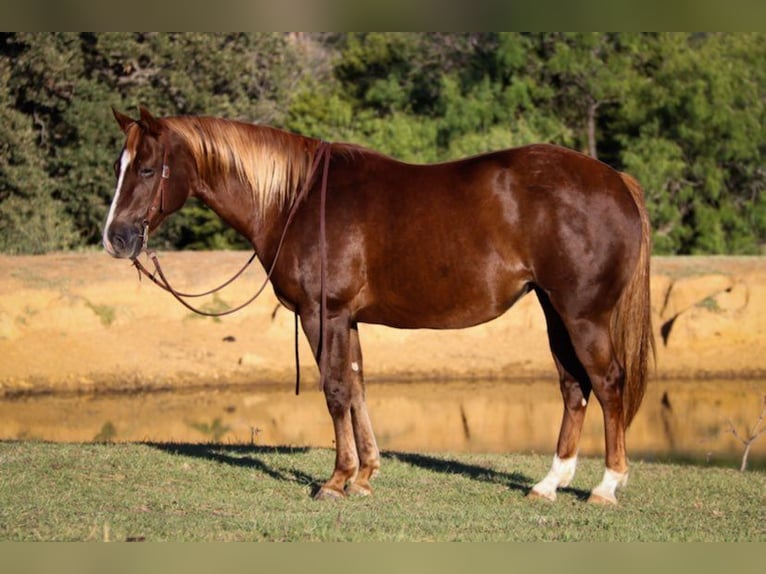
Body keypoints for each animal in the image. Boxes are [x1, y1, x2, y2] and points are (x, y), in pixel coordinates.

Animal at [102, 107, 656, 504]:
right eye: (118, 167)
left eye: (147, 168)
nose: (115, 239)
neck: (295, 199)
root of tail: (617, 182)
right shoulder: (348, 320)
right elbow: (357, 385)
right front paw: (365, 475)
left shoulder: (323, 314)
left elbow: (334, 391)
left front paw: (336, 480)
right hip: (554, 311)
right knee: (573, 387)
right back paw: (548, 484)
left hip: (582, 316)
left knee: (607, 383)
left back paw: (606, 486)